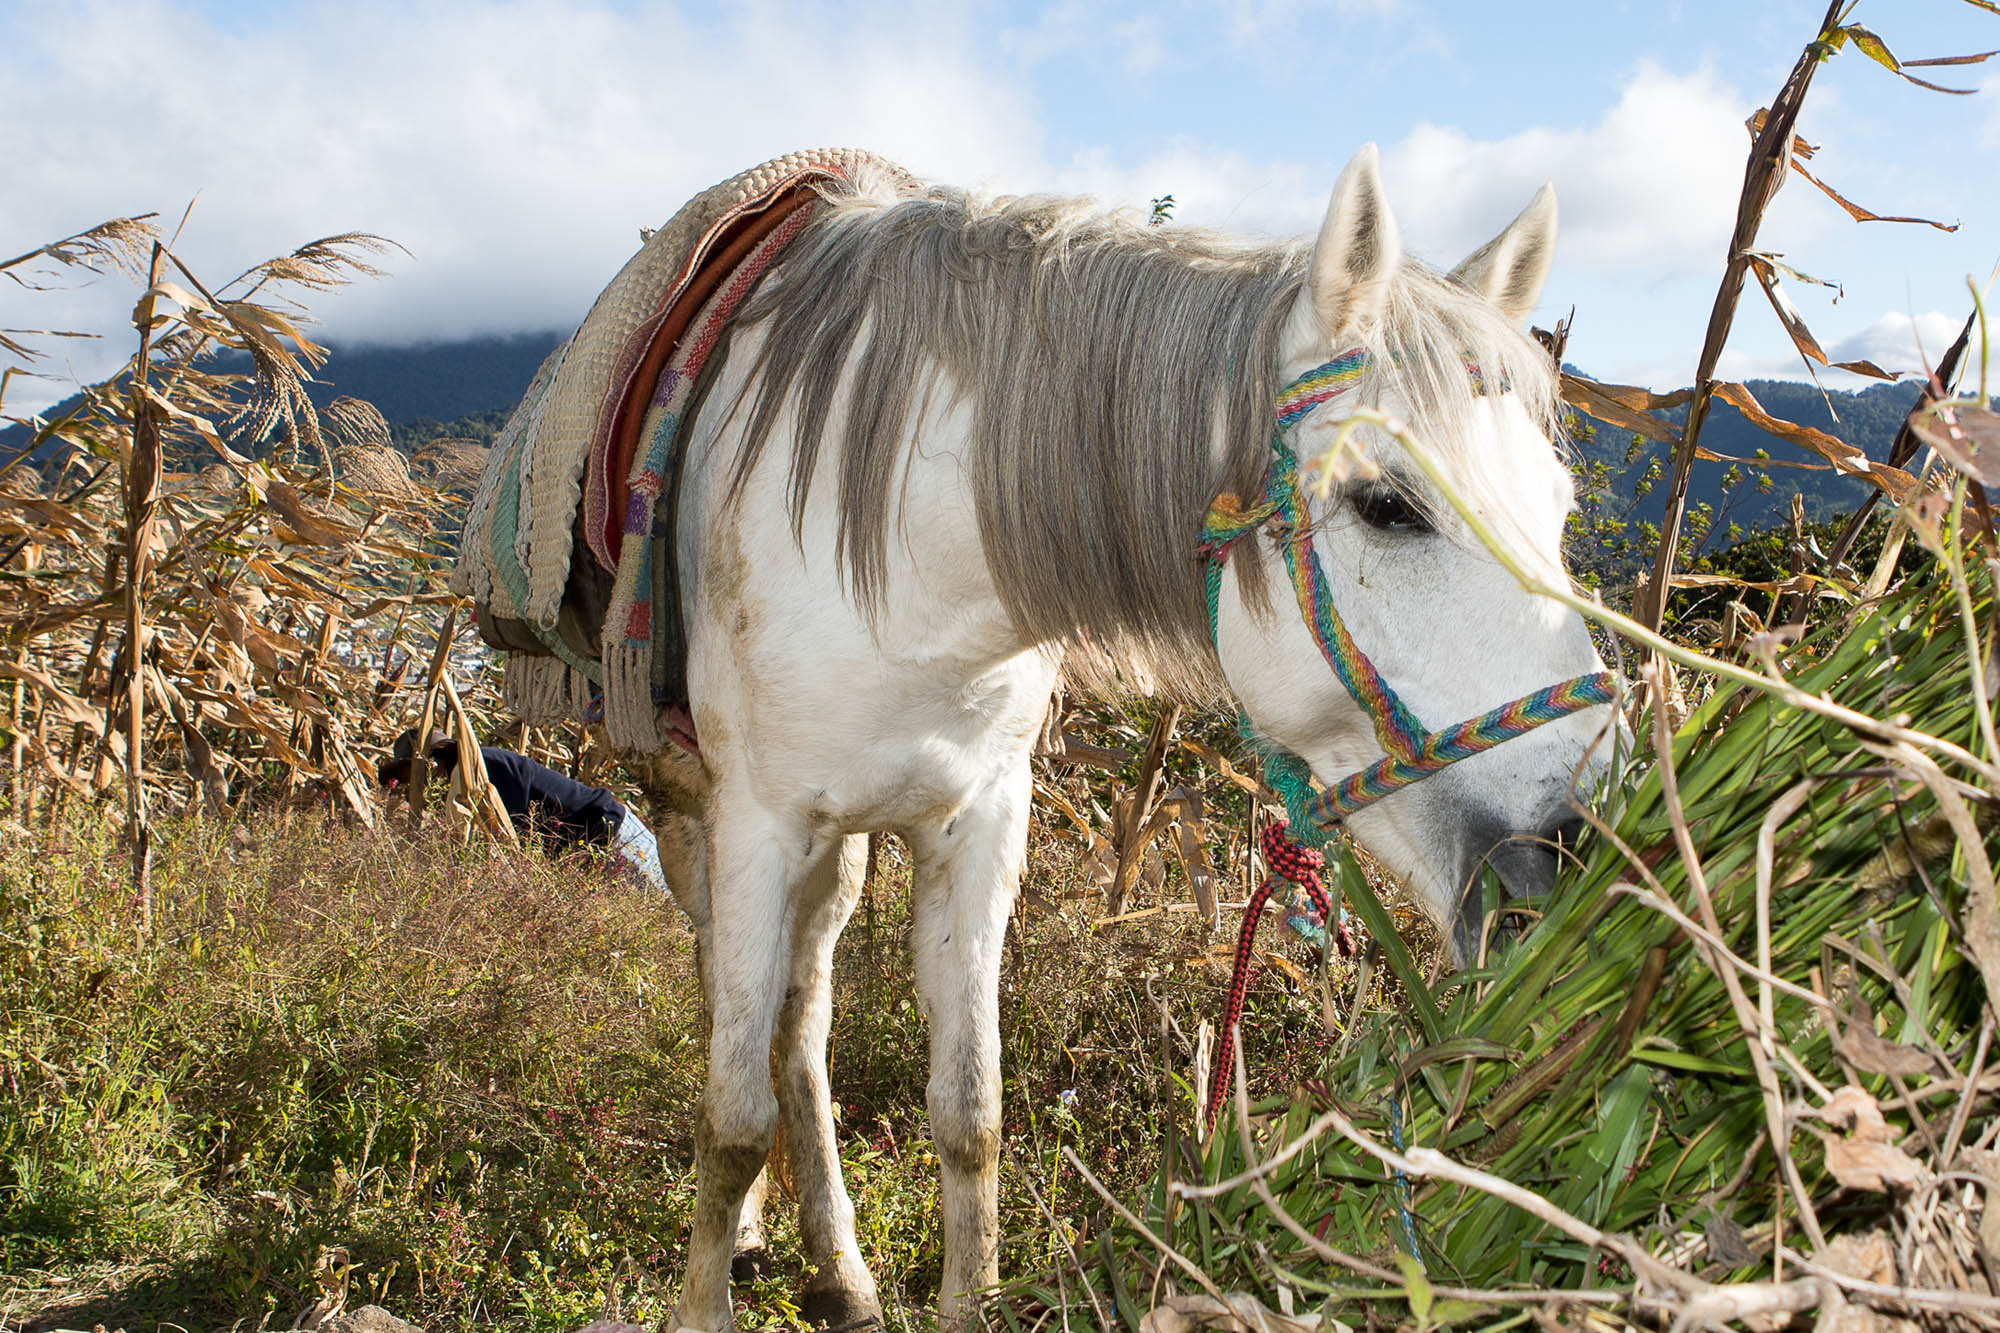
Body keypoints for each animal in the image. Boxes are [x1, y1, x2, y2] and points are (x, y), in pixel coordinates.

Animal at [632, 148, 1616, 1328]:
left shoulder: (975, 823)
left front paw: (967, 1294)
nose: (1571, 853)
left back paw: (838, 1265)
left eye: (1557, 508)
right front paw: (705, 1291)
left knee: (801, 1014)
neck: (898, 554)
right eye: (1387, 505)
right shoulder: (758, 825)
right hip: (697, 815)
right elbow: (729, 1119)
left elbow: (970, 1111)